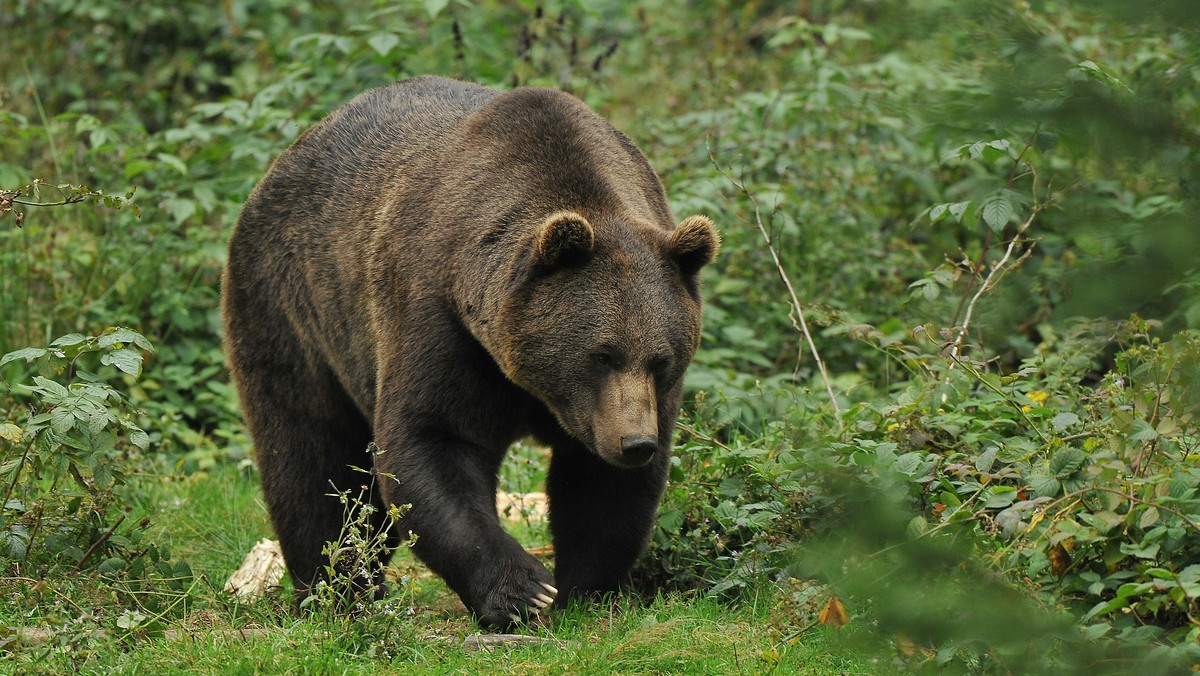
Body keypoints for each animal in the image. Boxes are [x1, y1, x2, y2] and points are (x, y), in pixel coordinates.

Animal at [222, 75, 715, 629]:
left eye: (661, 359)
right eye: (601, 355)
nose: (635, 443)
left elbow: (598, 487)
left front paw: (584, 589)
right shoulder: (441, 318)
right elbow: (433, 439)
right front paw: (524, 589)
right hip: (292, 306)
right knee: (312, 455)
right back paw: (335, 588)